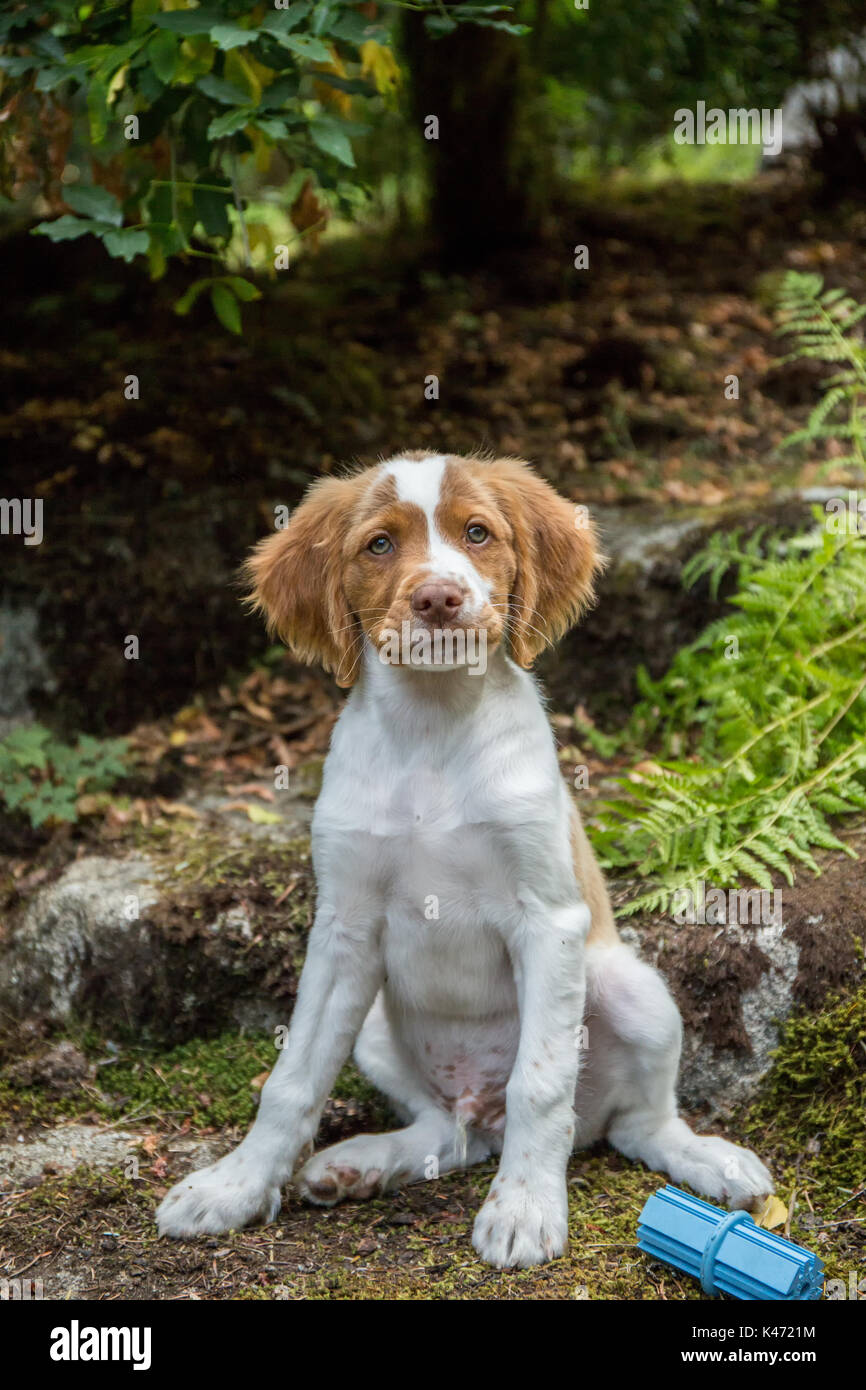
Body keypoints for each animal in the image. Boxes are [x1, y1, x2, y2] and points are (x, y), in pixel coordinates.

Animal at [159, 455, 778, 1273]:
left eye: (478, 533)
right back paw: (364, 1162)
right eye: (380, 545)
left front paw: (524, 1210)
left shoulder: (548, 920)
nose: (438, 598)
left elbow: (539, 1085)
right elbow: (291, 1082)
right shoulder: (344, 930)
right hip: (377, 1030)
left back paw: (708, 1160)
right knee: (447, 1132)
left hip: (628, 987)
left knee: (636, 1123)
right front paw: (232, 1188)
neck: (432, 726)